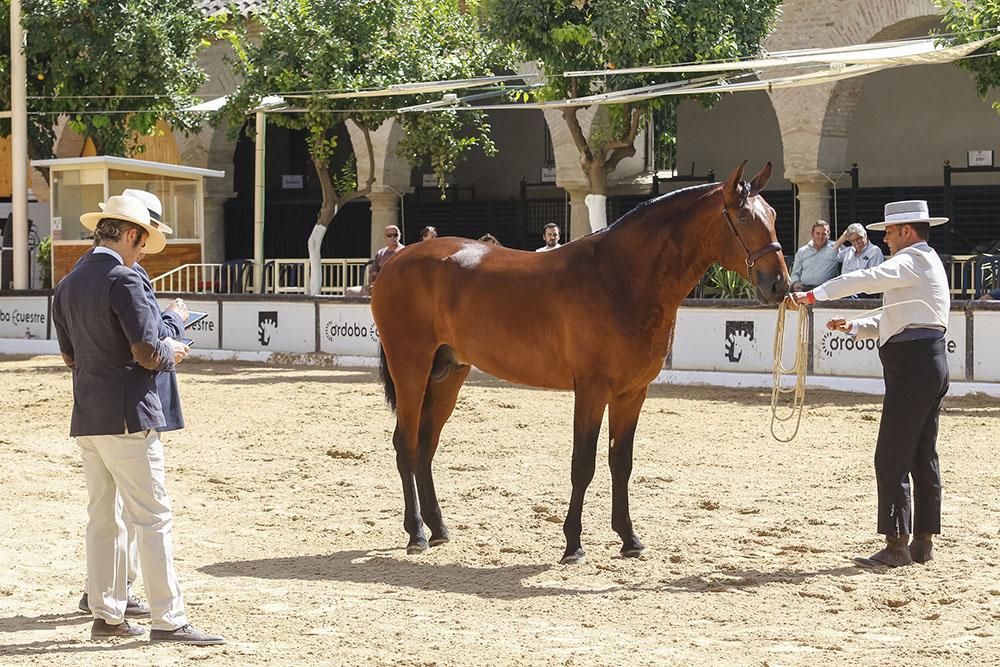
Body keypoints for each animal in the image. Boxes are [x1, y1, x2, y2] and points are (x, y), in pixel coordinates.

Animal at [370, 163, 788, 564]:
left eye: (773, 215)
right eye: (744, 217)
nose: (779, 285)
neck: (621, 278)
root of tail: (395, 262)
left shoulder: (632, 393)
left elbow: (621, 462)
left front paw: (629, 539)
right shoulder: (591, 390)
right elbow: (583, 464)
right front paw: (573, 545)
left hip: (448, 375)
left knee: (425, 445)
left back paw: (438, 528)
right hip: (411, 367)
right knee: (406, 443)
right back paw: (416, 534)